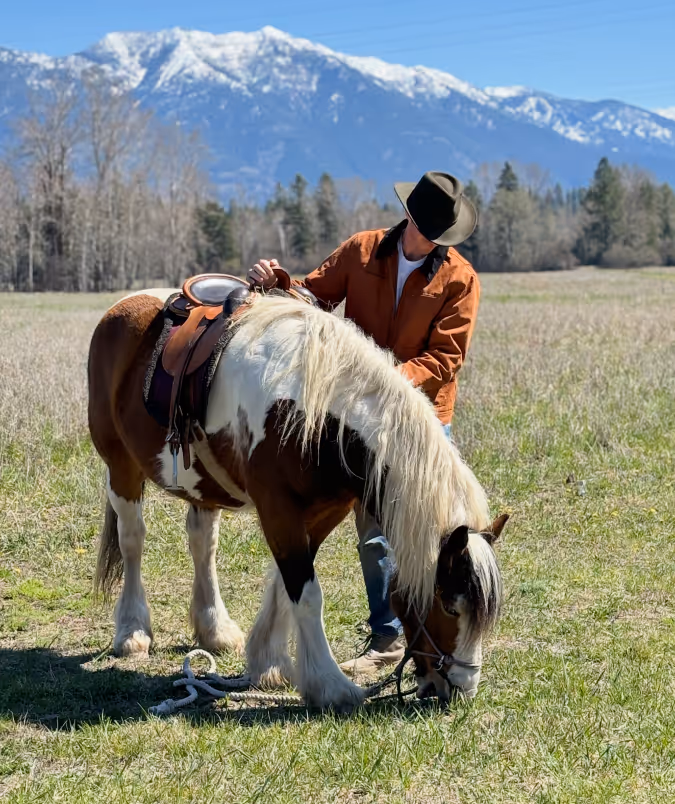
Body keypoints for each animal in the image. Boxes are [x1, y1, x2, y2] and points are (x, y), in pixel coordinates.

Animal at [88, 288, 506, 709]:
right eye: (449, 605)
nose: (461, 689)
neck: (315, 416)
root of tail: (124, 306)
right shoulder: (278, 508)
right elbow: (306, 594)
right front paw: (331, 685)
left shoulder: (323, 512)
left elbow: (284, 583)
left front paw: (267, 662)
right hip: (121, 466)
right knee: (132, 539)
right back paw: (132, 632)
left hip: (202, 487)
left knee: (202, 543)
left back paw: (215, 630)